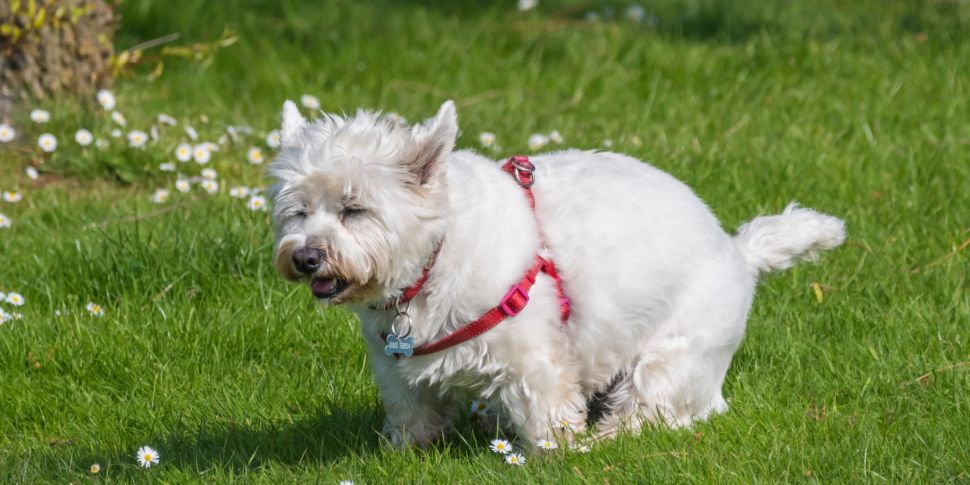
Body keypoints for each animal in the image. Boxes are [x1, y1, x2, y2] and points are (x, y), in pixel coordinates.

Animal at [268, 100, 844, 448]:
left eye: (355, 209)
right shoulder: (395, 365)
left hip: (674, 357)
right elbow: (413, 418)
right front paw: (404, 452)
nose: (306, 258)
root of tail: (738, 251)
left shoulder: (537, 358)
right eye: (298, 211)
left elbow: (548, 415)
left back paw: (609, 440)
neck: (434, 259)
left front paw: (556, 454)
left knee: (656, 409)